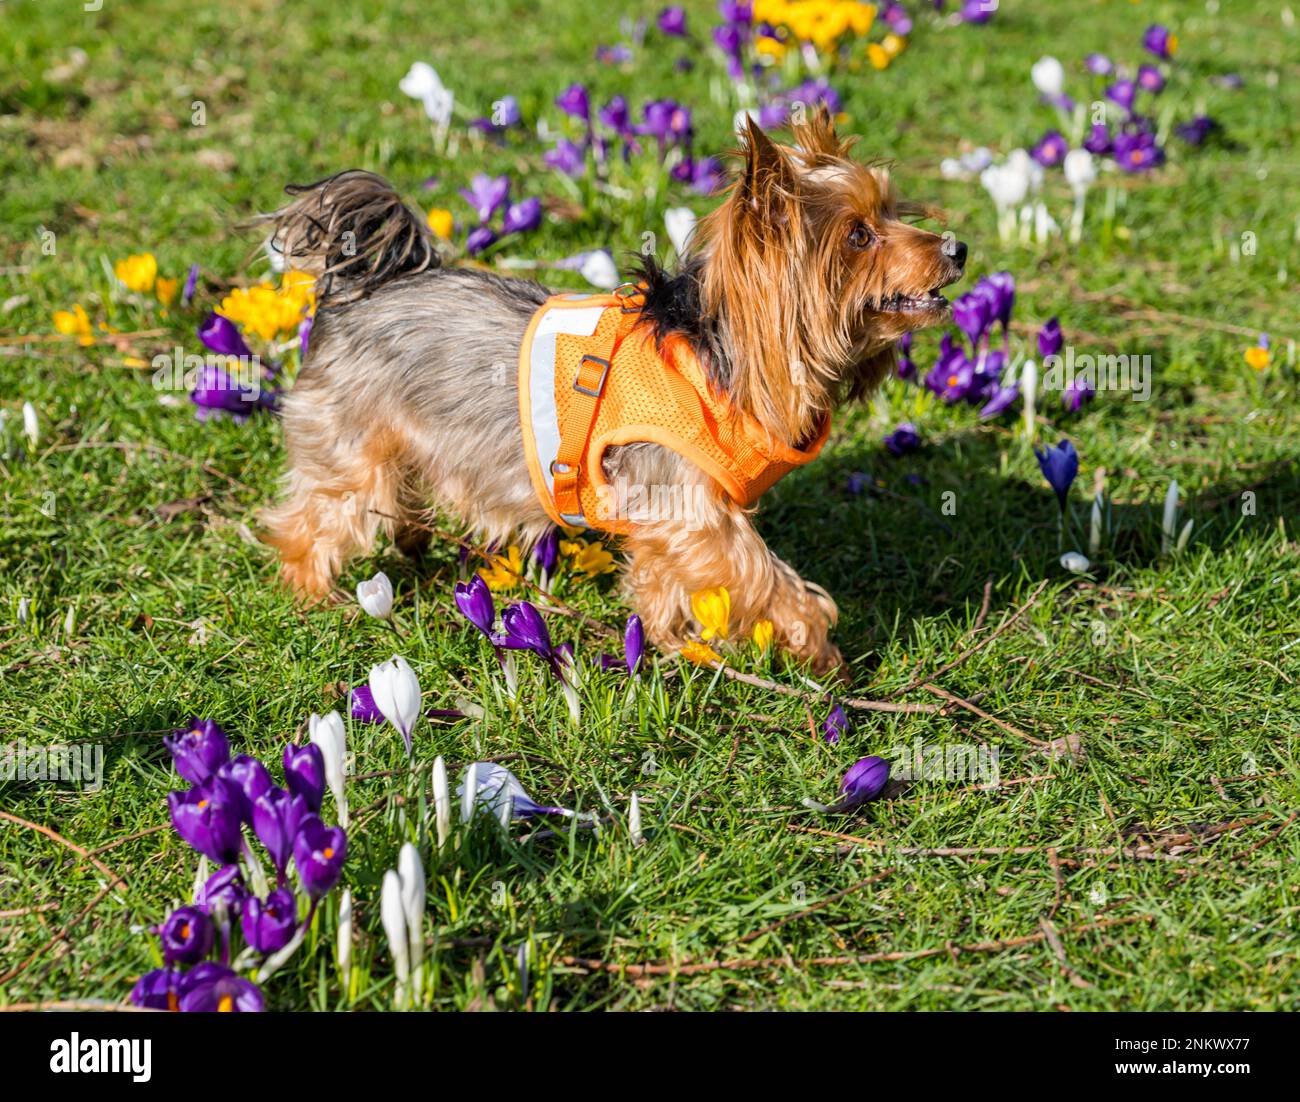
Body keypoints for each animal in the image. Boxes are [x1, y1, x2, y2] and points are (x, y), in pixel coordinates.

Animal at [258, 109, 967, 670]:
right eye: (858, 235)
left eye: (892, 211)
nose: (958, 248)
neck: (724, 357)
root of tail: (366, 286)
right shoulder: (692, 510)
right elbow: (760, 574)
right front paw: (815, 643)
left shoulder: (665, 523)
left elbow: (662, 583)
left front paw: (674, 642)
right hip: (351, 450)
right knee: (314, 519)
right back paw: (314, 595)